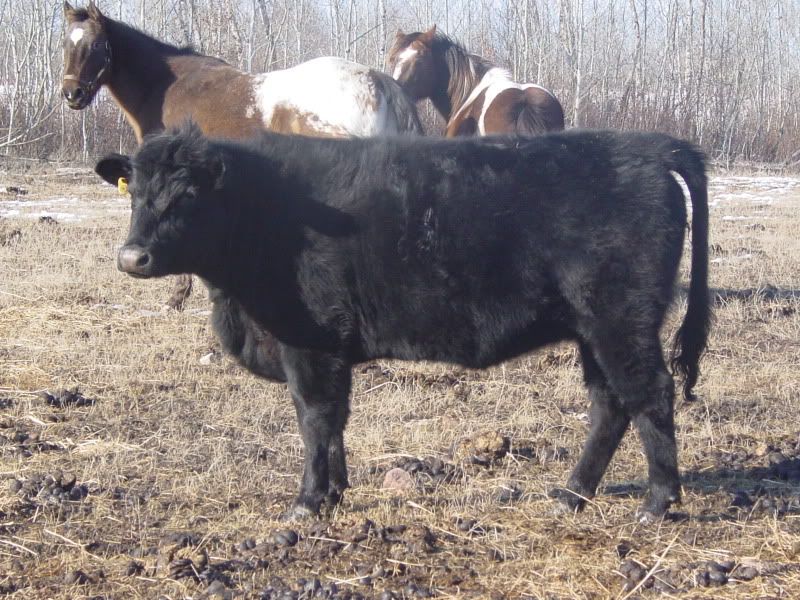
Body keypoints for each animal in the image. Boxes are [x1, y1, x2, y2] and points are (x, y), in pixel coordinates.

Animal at [95, 124, 711, 521]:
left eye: (188, 194)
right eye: (136, 193)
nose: (132, 257)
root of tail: (649, 145)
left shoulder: (311, 342)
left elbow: (314, 418)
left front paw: (307, 503)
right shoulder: (325, 349)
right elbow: (333, 422)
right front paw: (334, 493)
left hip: (619, 320)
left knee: (649, 394)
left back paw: (658, 502)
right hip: (592, 329)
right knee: (610, 405)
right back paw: (571, 495)